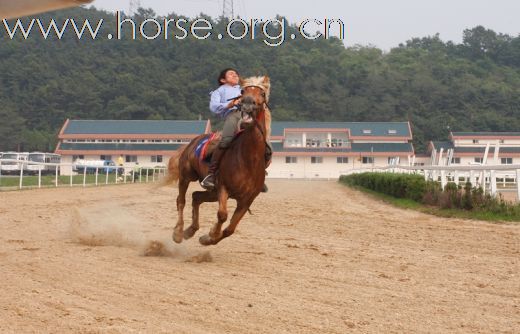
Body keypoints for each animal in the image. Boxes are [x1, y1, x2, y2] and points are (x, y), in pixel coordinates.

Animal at [165, 77, 272, 247]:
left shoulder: (247, 200)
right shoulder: (223, 188)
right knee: (181, 200)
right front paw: (210, 236)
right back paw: (178, 233)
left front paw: (208, 237)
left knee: (196, 197)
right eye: (243, 92)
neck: (249, 159)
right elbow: (222, 215)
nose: (247, 103)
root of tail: (193, 141)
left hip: (212, 192)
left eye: (261, 93)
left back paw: (190, 230)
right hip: (187, 176)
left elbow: (230, 229)